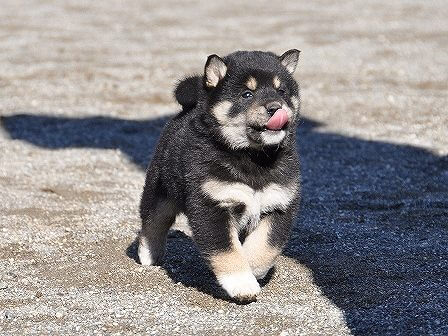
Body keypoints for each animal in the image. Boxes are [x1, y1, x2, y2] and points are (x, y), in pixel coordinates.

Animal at [139, 50, 300, 302]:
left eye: (281, 91)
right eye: (247, 94)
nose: (276, 107)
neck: (253, 157)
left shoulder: (279, 205)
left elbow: (265, 246)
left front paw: (253, 268)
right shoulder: (212, 205)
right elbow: (227, 251)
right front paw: (242, 284)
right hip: (160, 192)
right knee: (152, 223)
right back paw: (148, 255)